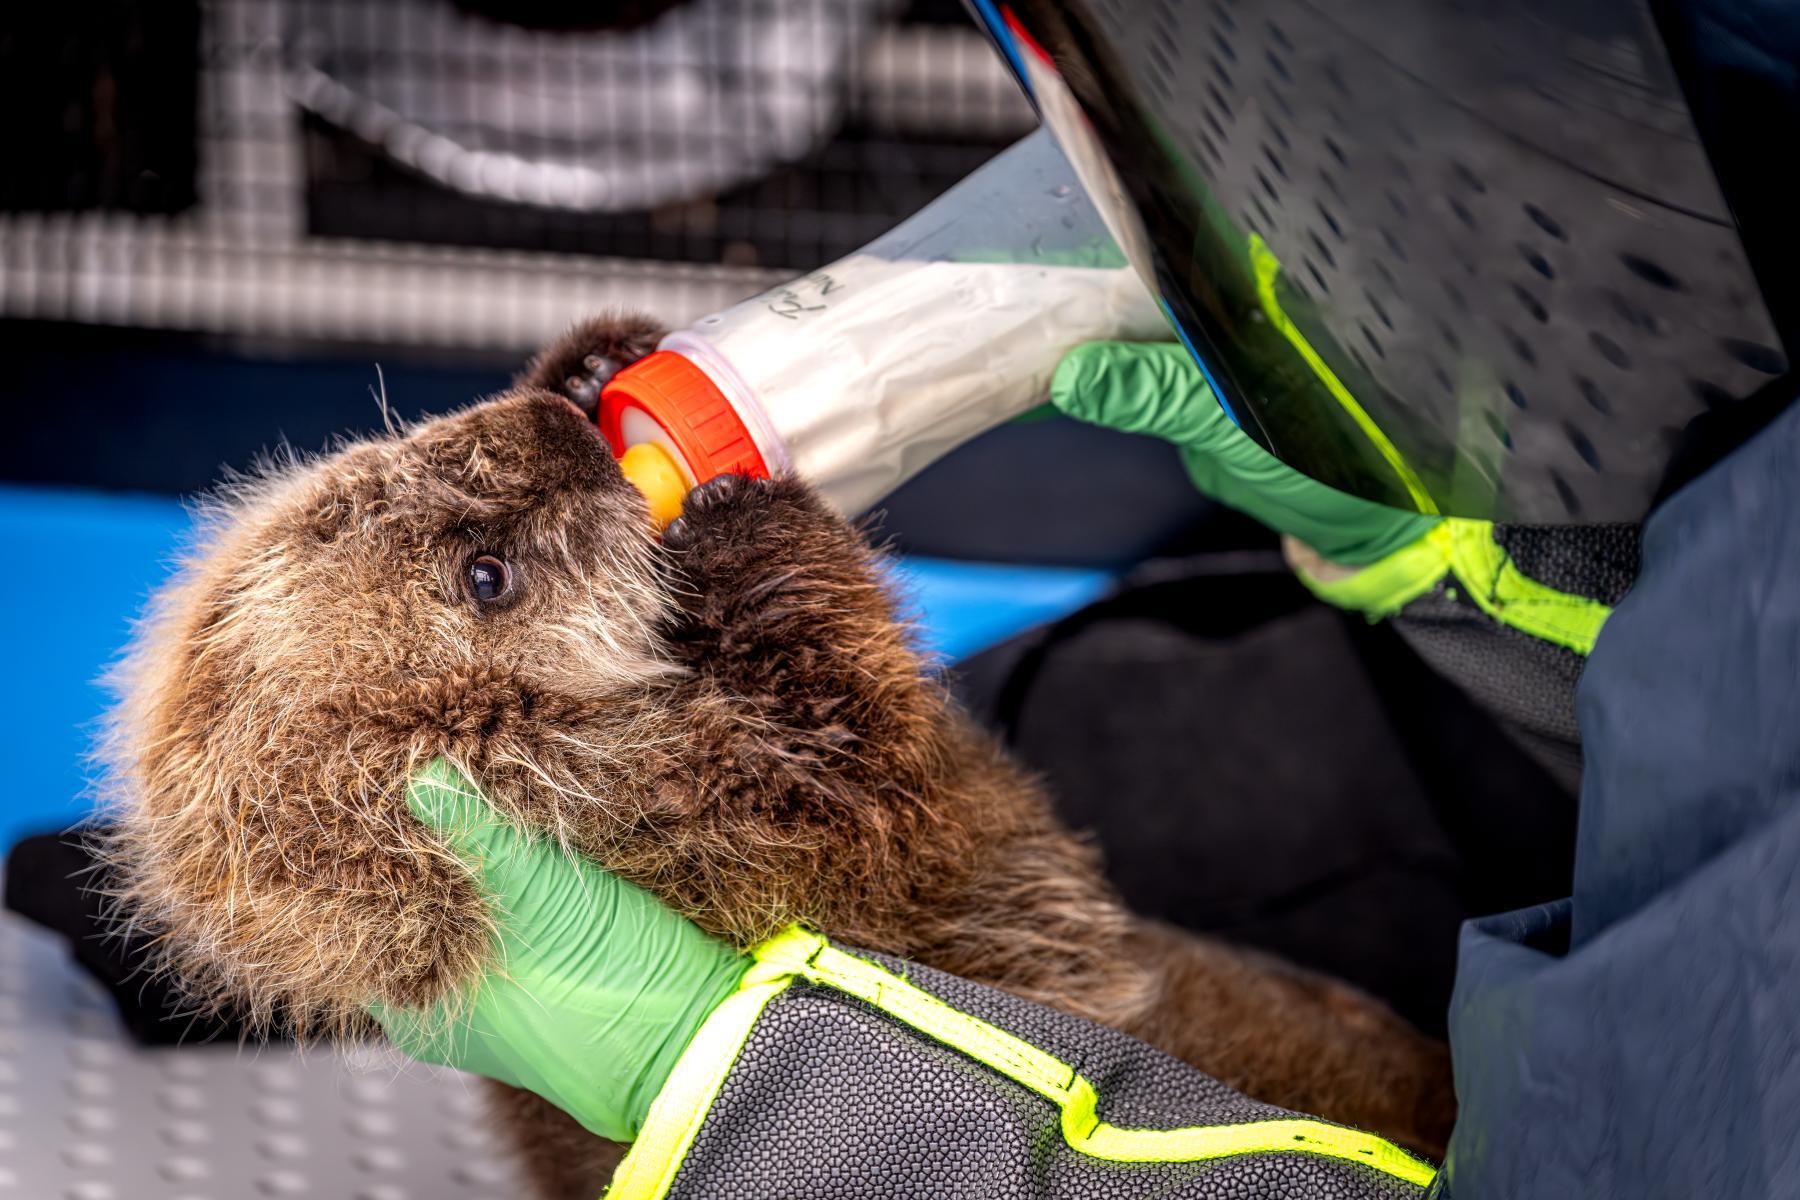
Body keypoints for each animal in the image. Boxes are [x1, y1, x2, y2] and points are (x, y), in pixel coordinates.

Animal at [101, 315, 1454, 1199]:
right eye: (486, 574)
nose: (554, 425)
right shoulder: (747, 821)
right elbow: (851, 742)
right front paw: (741, 521)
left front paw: (595, 360)